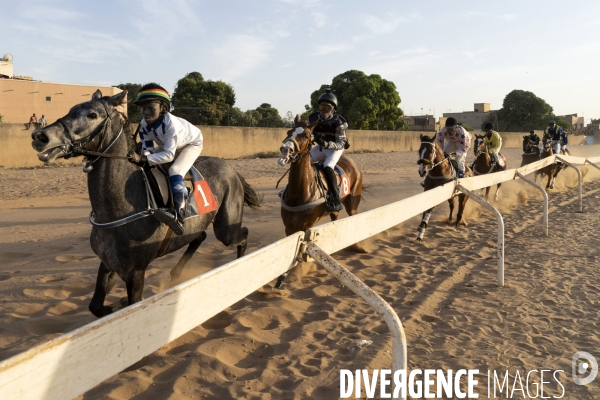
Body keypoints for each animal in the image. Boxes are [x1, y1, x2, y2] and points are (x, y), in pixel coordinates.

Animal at [30, 90, 260, 316]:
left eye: (92, 115)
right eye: (71, 110)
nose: (40, 136)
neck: (117, 211)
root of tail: (231, 169)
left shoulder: (135, 272)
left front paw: (123, 302)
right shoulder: (109, 262)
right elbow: (96, 307)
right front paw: (118, 303)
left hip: (226, 229)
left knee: (242, 234)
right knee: (199, 236)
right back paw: (175, 273)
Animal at [274, 115, 364, 288]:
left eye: (305, 136)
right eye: (289, 132)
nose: (285, 149)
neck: (300, 192)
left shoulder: (306, 225)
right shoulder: (289, 226)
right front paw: (282, 277)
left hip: (353, 203)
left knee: (353, 217)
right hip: (335, 209)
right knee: (335, 217)